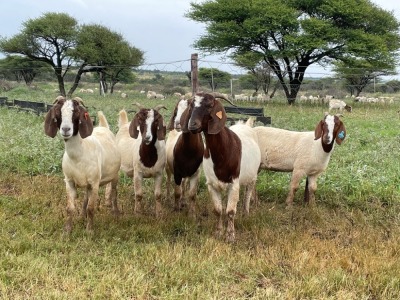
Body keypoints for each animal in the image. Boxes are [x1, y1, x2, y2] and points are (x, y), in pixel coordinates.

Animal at [44, 97, 120, 233]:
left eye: (76, 112)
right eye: (58, 113)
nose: (66, 129)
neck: (80, 154)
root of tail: (103, 127)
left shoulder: (95, 183)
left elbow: (91, 208)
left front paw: (89, 231)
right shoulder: (69, 181)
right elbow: (70, 208)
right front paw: (67, 231)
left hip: (114, 176)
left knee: (114, 192)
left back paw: (115, 213)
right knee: (85, 197)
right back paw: (81, 216)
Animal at [180, 92, 260, 243]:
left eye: (210, 105)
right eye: (191, 105)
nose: (192, 125)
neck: (222, 151)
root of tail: (244, 125)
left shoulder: (234, 183)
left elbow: (230, 211)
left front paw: (230, 236)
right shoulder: (212, 184)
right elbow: (218, 210)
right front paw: (218, 232)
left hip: (252, 177)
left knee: (248, 194)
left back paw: (246, 214)